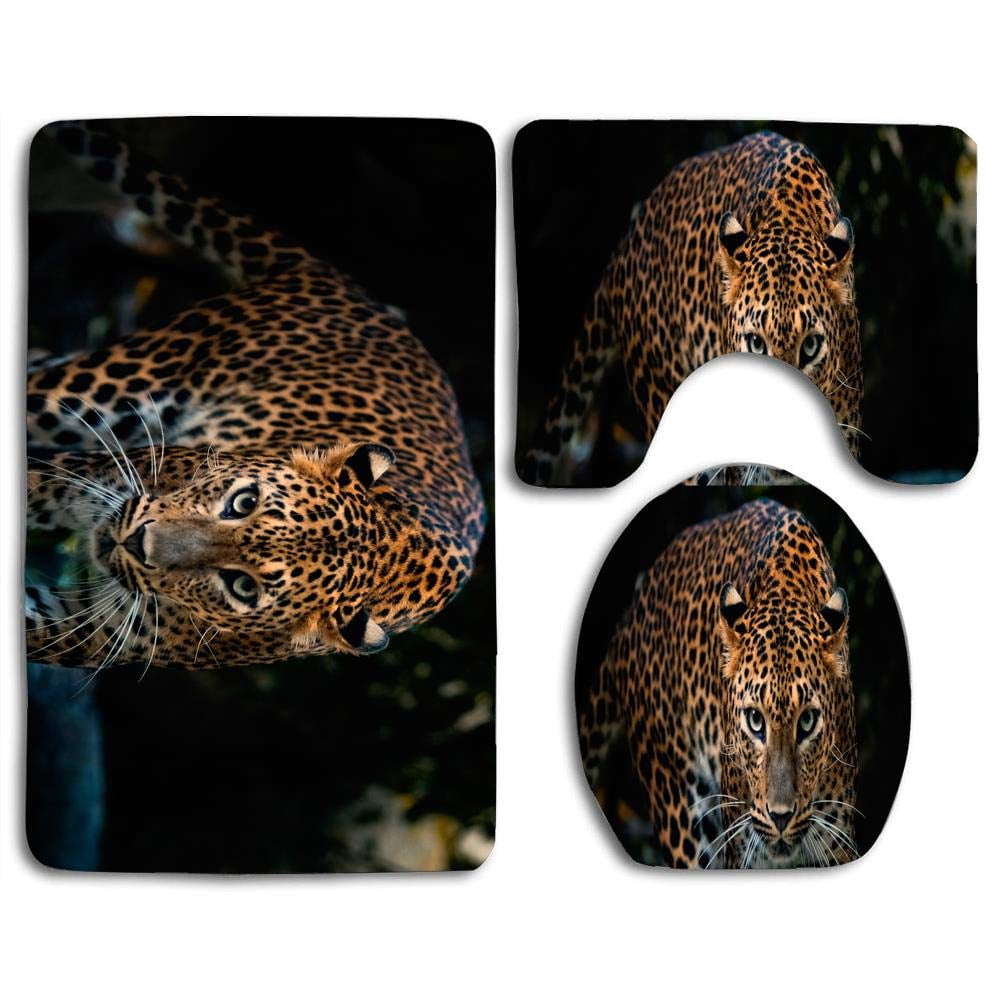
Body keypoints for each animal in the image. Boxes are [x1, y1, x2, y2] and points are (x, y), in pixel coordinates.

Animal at [26, 121, 486, 669]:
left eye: (242, 586)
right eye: (243, 501)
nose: (137, 542)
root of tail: (353, 290)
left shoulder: (85, 630)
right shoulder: (96, 475)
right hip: (113, 380)